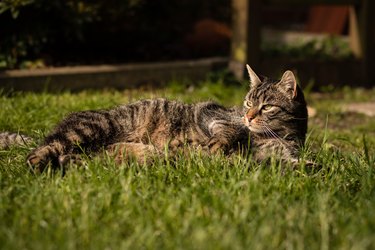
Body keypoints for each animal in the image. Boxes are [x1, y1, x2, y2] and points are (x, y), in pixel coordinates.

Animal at [0, 65, 308, 173]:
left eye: (266, 107)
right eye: (247, 103)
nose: (247, 115)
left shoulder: (271, 158)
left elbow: (294, 164)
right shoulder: (213, 113)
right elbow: (228, 131)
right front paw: (219, 144)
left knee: (75, 158)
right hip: (89, 129)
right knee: (37, 153)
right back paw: (43, 167)